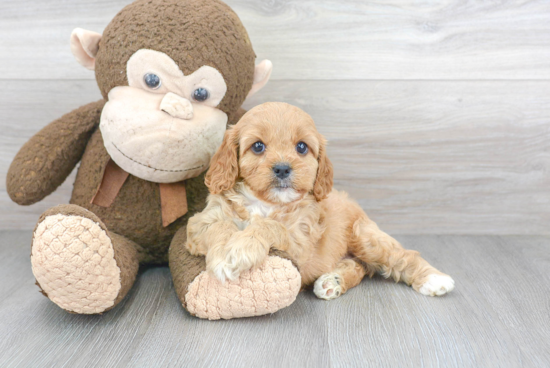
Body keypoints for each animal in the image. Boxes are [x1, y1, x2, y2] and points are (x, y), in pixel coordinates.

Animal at [187, 101, 458, 300]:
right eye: (257, 146)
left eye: (301, 147)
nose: (283, 169)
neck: (265, 203)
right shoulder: (200, 223)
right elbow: (221, 226)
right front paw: (225, 253)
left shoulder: (300, 243)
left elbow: (269, 226)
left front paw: (237, 252)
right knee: (360, 267)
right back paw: (332, 281)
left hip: (365, 237)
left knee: (401, 256)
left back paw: (434, 279)